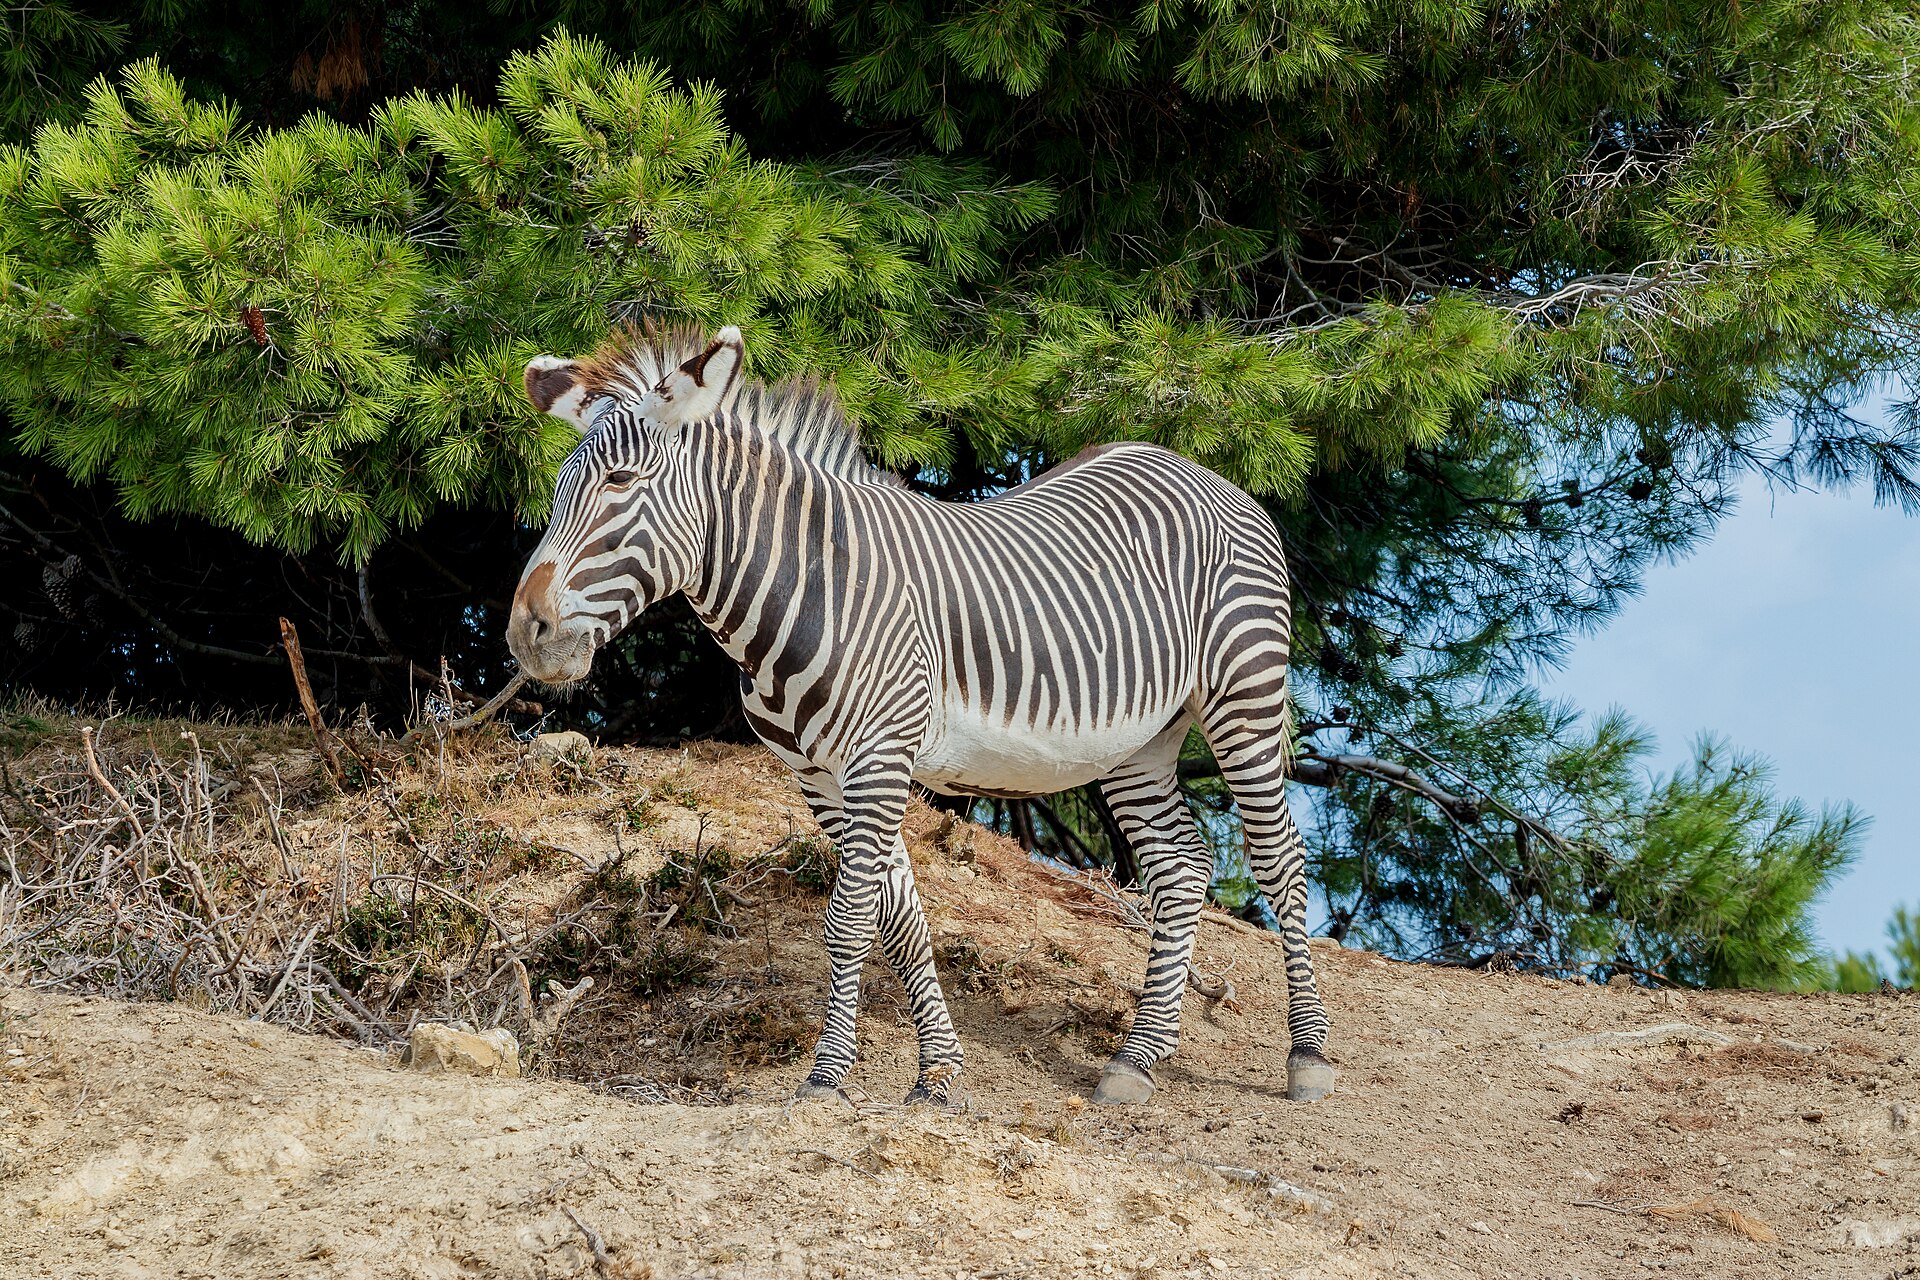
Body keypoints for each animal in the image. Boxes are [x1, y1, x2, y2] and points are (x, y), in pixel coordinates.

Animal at [507, 324, 1334, 1109]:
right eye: (558, 489)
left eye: (619, 483)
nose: (525, 634)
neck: (809, 589)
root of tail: (1201, 471)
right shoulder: (819, 775)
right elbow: (899, 921)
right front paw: (937, 1073)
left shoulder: (880, 755)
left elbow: (849, 921)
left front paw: (827, 1077)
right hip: (1140, 741)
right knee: (1181, 864)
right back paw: (1136, 1059)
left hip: (1243, 695)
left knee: (1280, 857)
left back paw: (1307, 1056)